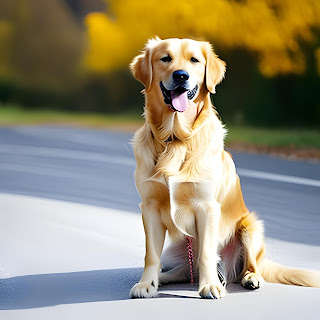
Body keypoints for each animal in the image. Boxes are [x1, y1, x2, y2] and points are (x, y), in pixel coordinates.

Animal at [129, 37, 318, 300]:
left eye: (194, 60)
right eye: (165, 58)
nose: (181, 76)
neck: (177, 139)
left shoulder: (207, 207)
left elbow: (207, 254)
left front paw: (210, 286)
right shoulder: (150, 207)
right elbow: (151, 255)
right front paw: (147, 284)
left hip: (251, 227)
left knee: (248, 266)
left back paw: (250, 278)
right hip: (175, 249)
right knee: (184, 270)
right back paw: (163, 278)